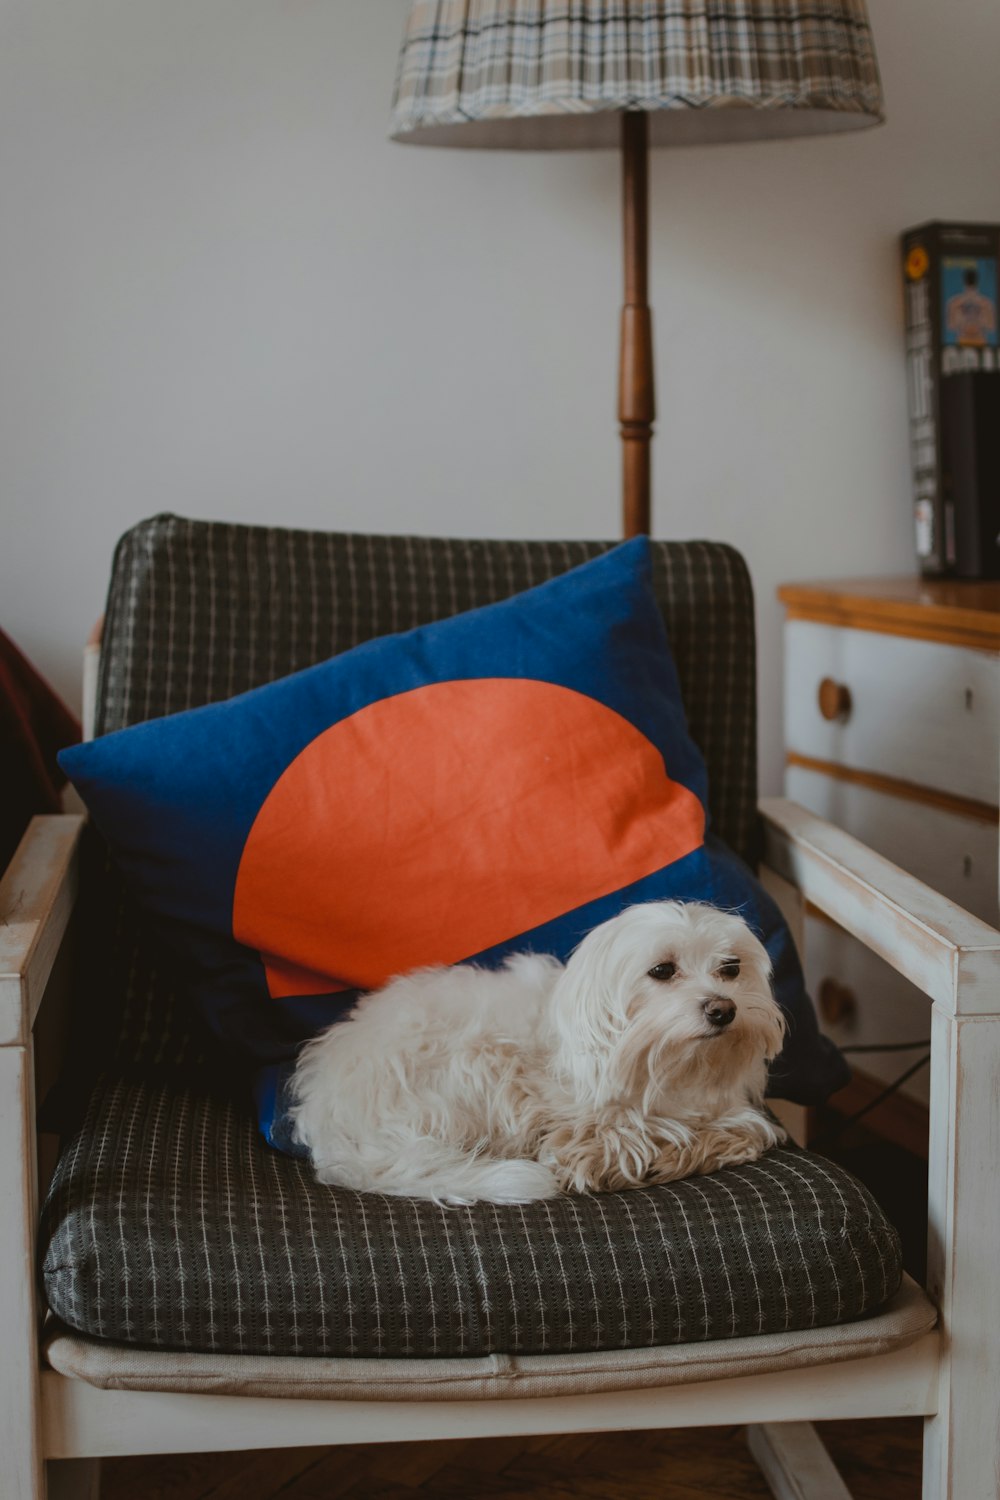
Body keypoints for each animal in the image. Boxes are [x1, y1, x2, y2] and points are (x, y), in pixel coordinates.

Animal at [290, 900, 791, 1206]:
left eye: (731, 968)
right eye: (663, 970)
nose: (723, 1009)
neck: (666, 1066)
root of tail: (331, 1124)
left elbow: (750, 1129)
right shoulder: (573, 1114)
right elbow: (609, 1136)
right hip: (477, 1061)